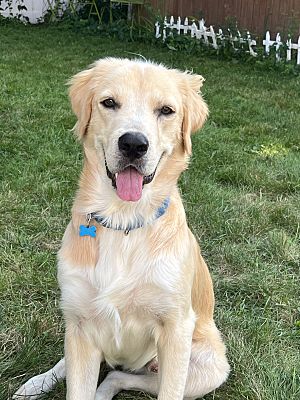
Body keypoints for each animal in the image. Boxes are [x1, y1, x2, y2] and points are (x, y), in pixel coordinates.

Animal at [13, 57, 230, 400]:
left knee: (117, 375)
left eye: (166, 110)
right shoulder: (82, 321)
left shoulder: (176, 328)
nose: (133, 144)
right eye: (109, 103)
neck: (123, 220)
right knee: (74, 363)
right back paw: (37, 383)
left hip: (208, 368)